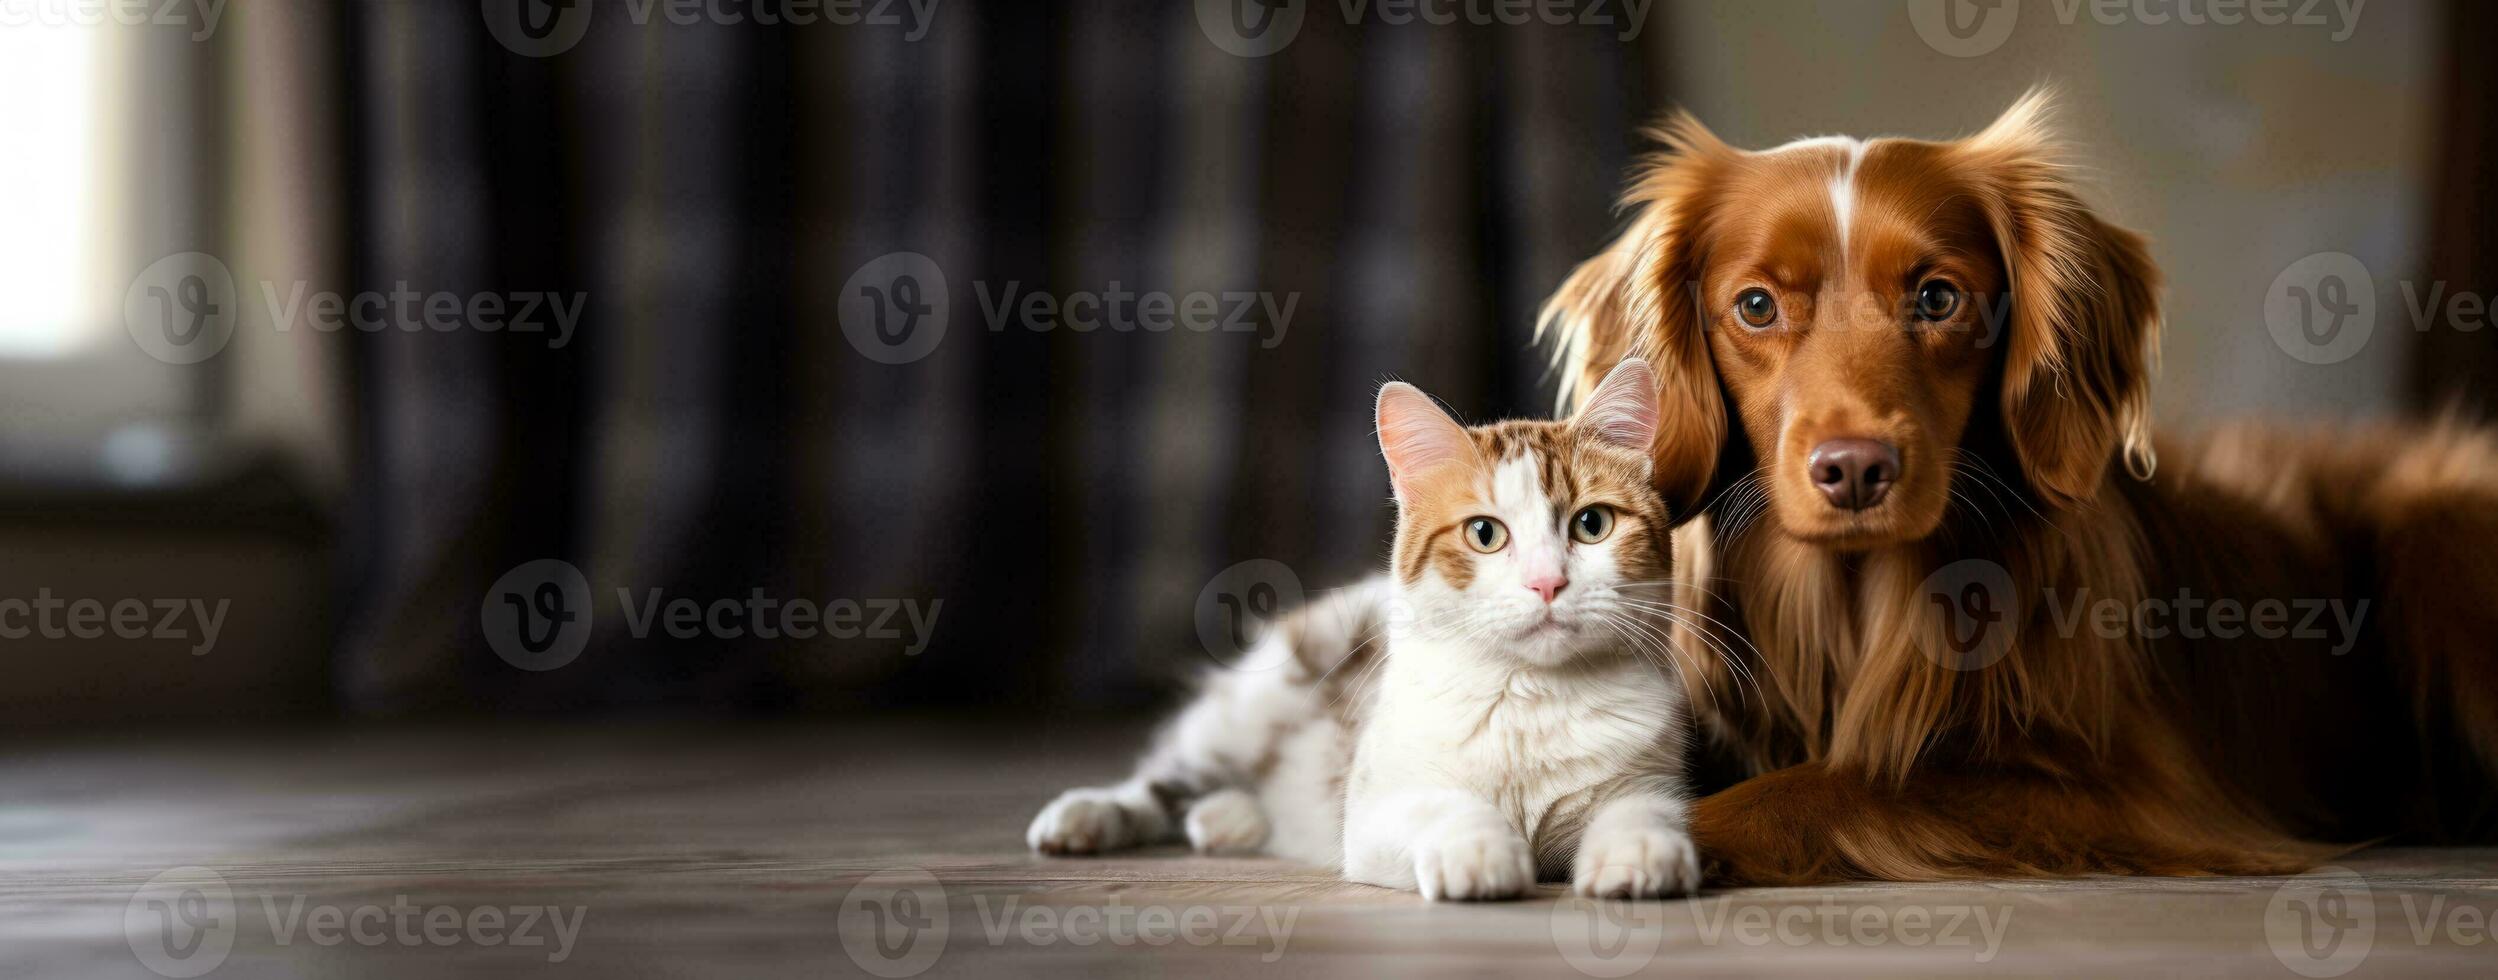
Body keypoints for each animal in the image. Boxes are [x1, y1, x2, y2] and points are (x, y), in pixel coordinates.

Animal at [1538, 91, 2498, 885]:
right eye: (1756, 307)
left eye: (1937, 298)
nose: (1855, 469)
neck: (1856, 603)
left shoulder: (2128, 790)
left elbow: (1834, 782)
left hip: (2442, 534)